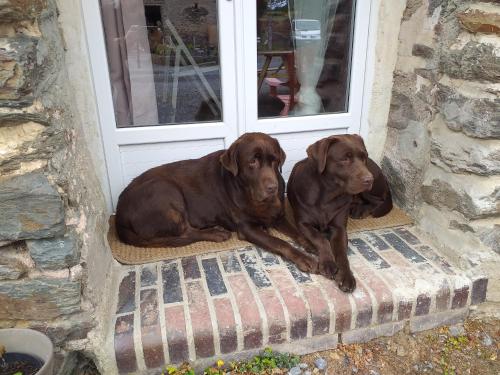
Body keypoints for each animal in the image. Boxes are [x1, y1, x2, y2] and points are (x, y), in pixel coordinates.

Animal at [115, 134, 318, 274]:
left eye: (275, 160)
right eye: (252, 161)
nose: (273, 188)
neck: (248, 193)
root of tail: (118, 217)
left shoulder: (278, 216)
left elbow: (297, 232)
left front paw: (311, 243)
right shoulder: (247, 228)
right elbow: (280, 243)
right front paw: (303, 258)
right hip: (165, 189)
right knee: (185, 232)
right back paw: (216, 233)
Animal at [288, 135, 392, 294]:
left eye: (363, 157)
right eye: (345, 159)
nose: (369, 179)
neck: (328, 194)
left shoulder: (339, 228)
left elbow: (342, 252)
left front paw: (346, 276)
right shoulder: (303, 223)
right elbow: (320, 239)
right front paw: (328, 263)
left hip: (370, 191)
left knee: (379, 201)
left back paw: (360, 210)